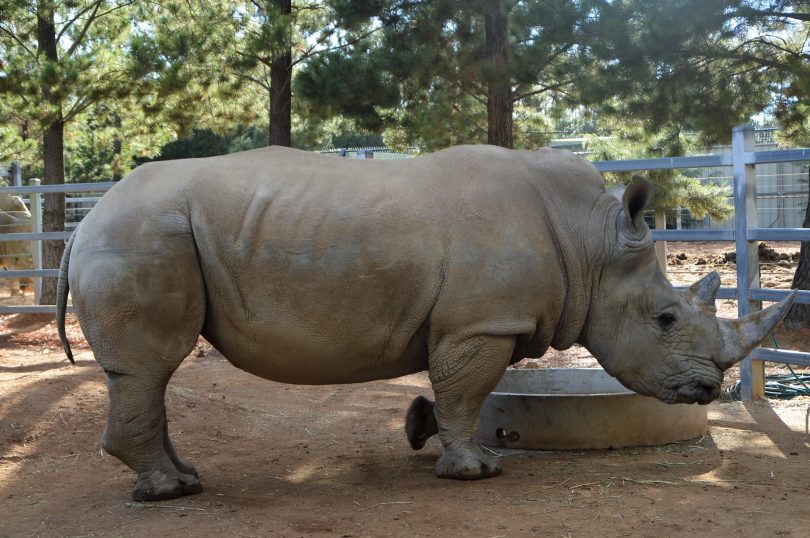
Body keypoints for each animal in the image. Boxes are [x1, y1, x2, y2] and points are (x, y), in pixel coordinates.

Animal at [56, 146, 796, 498]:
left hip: (146, 233)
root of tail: (84, 222)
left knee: (145, 376)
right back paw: (167, 493)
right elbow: (466, 394)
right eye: (666, 318)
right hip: (140, 235)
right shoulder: (483, 324)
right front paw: (476, 473)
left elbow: (451, 394)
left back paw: (183, 480)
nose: (707, 390)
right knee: (149, 366)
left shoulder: (468, 324)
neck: (592, 243)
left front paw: (426, 435)